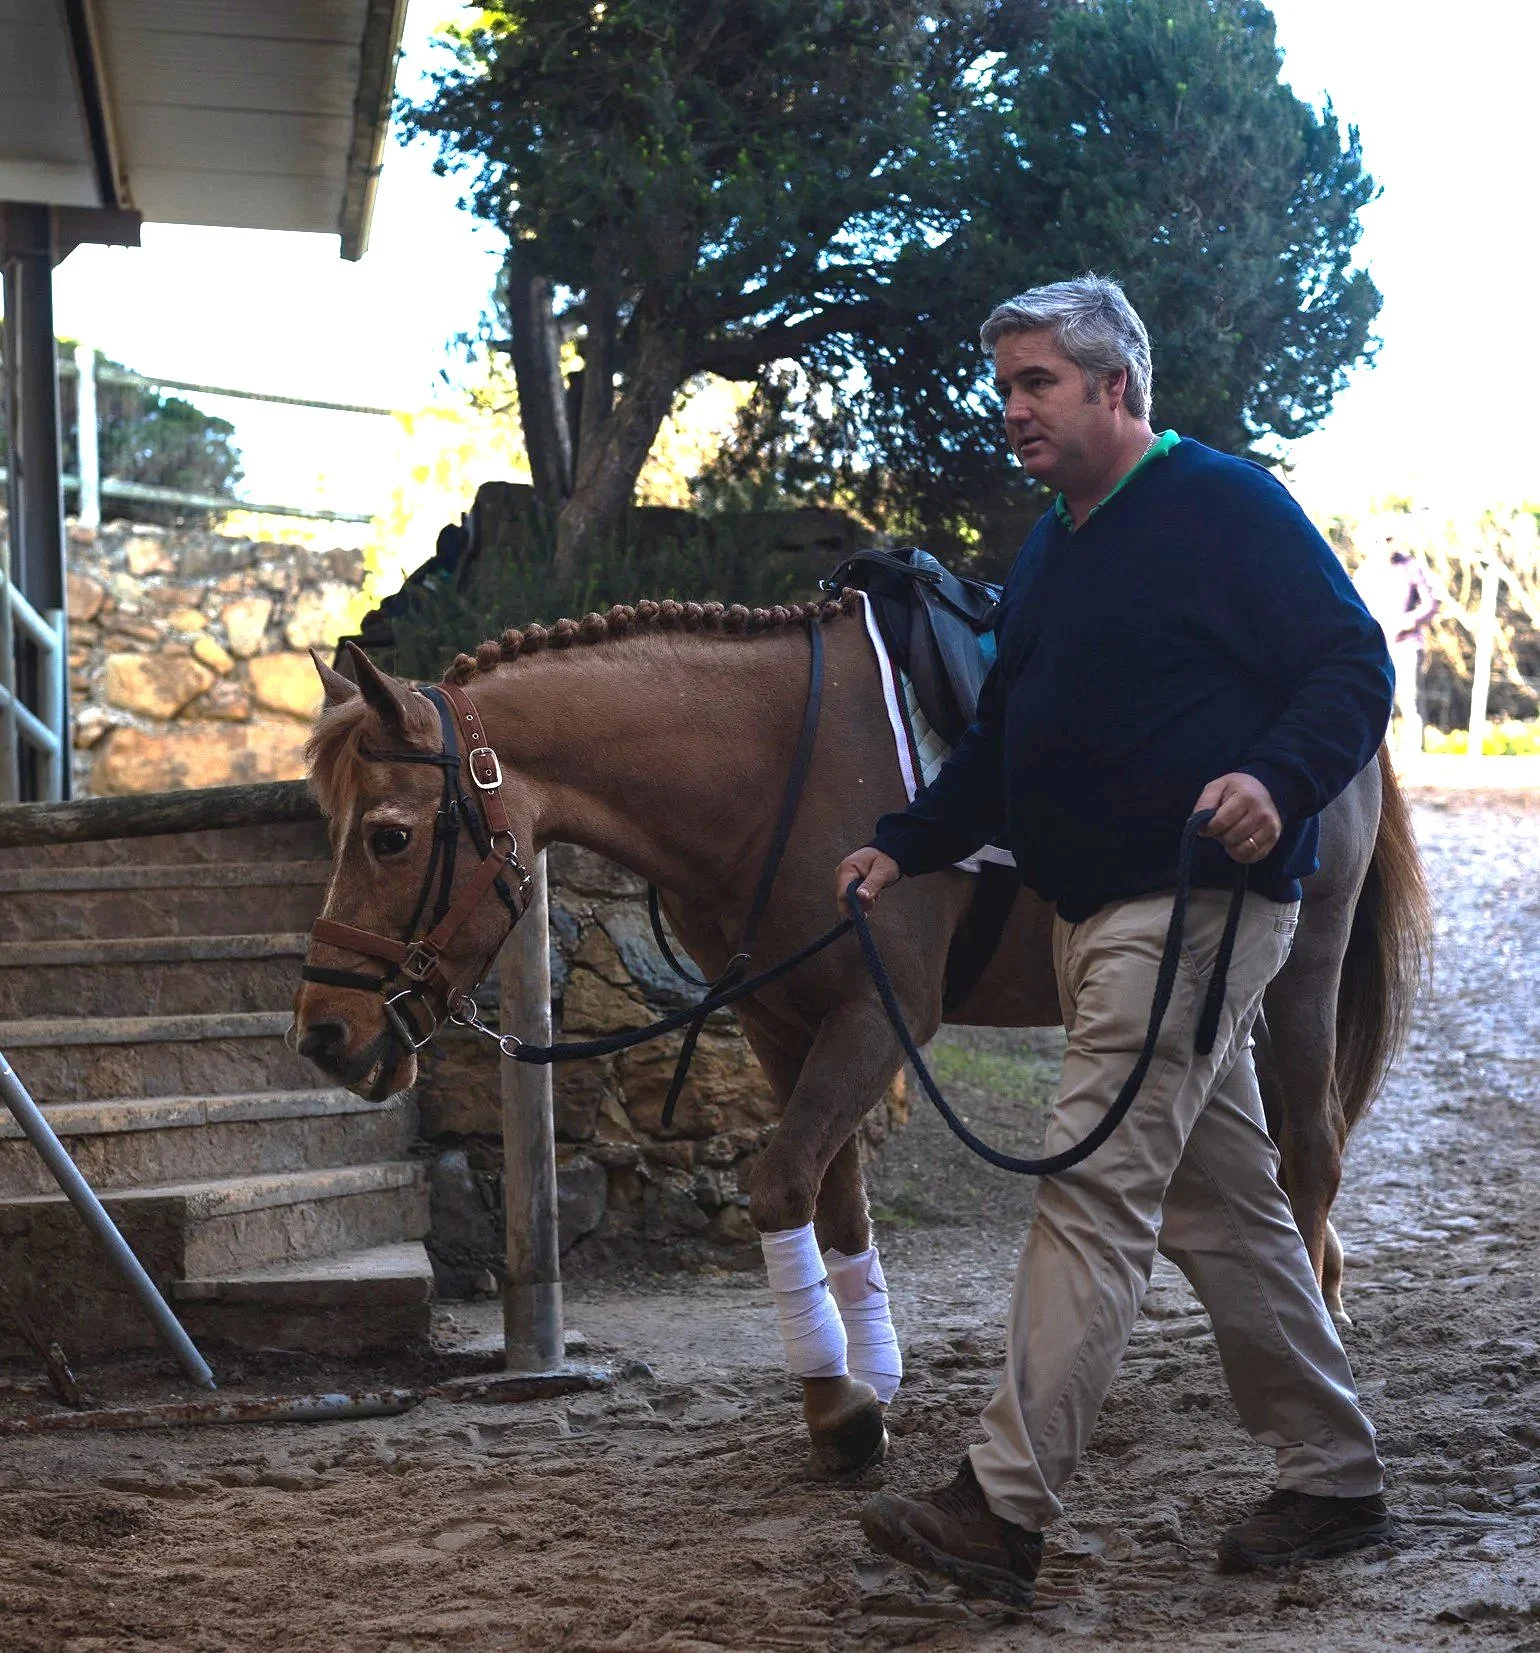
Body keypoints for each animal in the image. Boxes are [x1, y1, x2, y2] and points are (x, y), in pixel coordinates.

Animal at [293, 591, 1429, 1478]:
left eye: (389, 837)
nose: (324, 1033)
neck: (763, 776)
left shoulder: (883, 1014)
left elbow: (781, 1181)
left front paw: (837, 1411)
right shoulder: (780, 1018)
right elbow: (832, 1196)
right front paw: (863, 1377)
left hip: (1299, 965)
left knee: (1311, 1147)